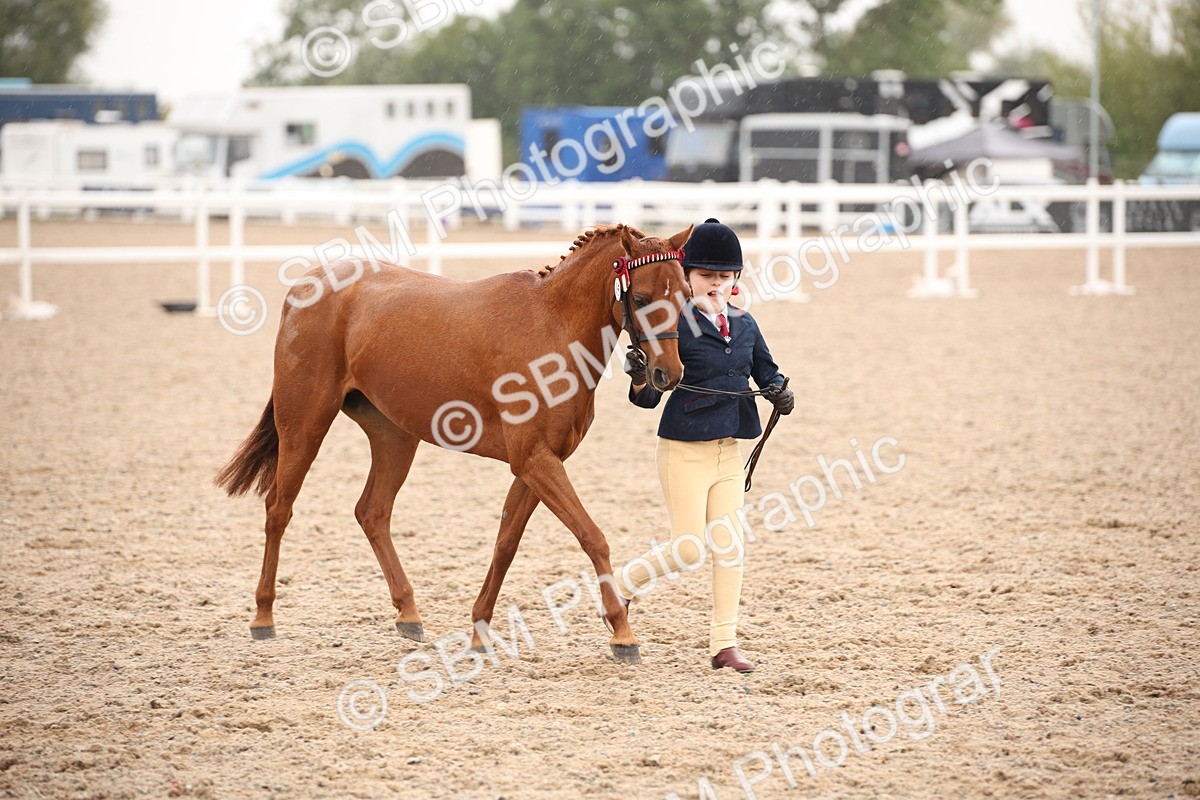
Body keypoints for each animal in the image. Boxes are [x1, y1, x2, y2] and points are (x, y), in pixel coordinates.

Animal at [214, 223, 694, 664]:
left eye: (687, 295)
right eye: (641, 298)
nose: (668, 374)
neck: (553, 328)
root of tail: (306, 285)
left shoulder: (536, 463)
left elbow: (506, 544)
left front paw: (480, 631)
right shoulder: (536, 461)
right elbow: (592, 537)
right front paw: (622, 632)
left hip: (394, 437)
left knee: (372, 512)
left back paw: (408, 613)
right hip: (305, 425)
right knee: (279, 509)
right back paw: (263, 618)